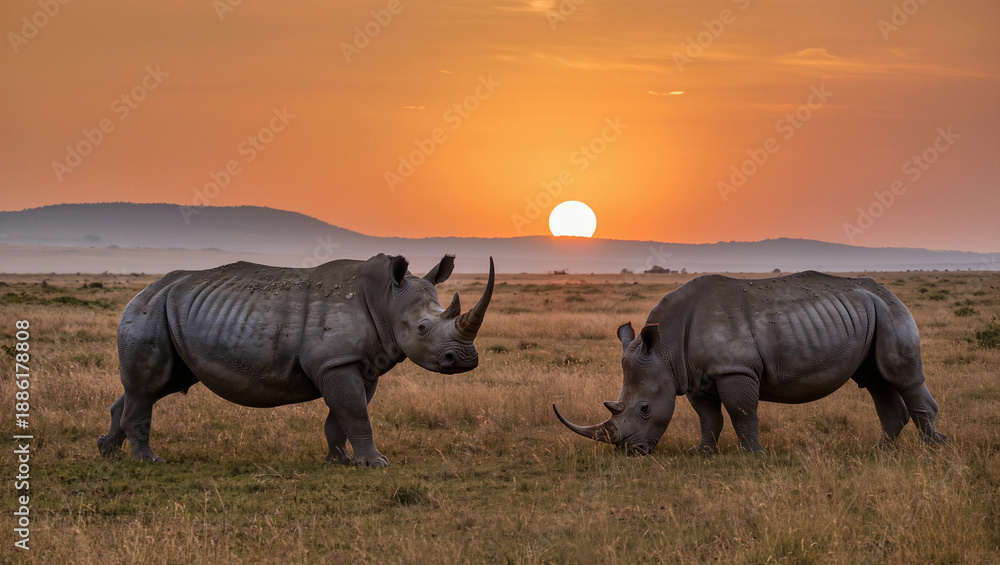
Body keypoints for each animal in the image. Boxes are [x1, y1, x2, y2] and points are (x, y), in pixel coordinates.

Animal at [98, 253, 494, 466]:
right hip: (150, 312)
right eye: (423, 328)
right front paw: (375, 463)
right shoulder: (336, 361)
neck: (386, 298)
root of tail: (142, 291)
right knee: (149, 385)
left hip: (172, 314)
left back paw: (108, 452)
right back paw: (148, 462)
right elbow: (355, 413)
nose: (465, 359)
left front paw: (340, 461)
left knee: (159, 386)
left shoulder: (358, 363)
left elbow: (344, 415)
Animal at [554, 271, 945, 455]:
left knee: (902, 377)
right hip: (870, 315)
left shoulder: (734, 369)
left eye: (645, 408)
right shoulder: (693, 375)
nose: (629, 452)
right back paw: (879, 453)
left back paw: (932, 450)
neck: (664, 348)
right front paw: (701, 453)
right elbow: (708, 418)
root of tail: (889, 291)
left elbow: (742, 412)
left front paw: (755, 456)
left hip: (891, 312)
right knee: (875, 380)